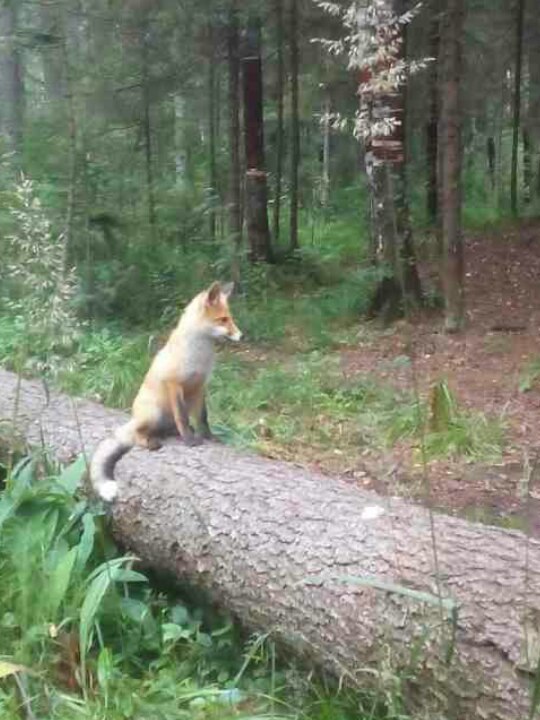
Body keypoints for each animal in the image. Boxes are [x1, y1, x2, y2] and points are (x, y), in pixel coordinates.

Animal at [89, 282, 242, 500]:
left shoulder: (199, 386)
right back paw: (150, 442)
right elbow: (183, 417)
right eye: (223, 319)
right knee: (137, 435)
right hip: (153, 414)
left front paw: (208, 436)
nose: (241, 335)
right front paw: (189, 440)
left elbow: (202, 418)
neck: (199, 356)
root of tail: (134, 418)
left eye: (230, 318)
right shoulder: (174, 384)